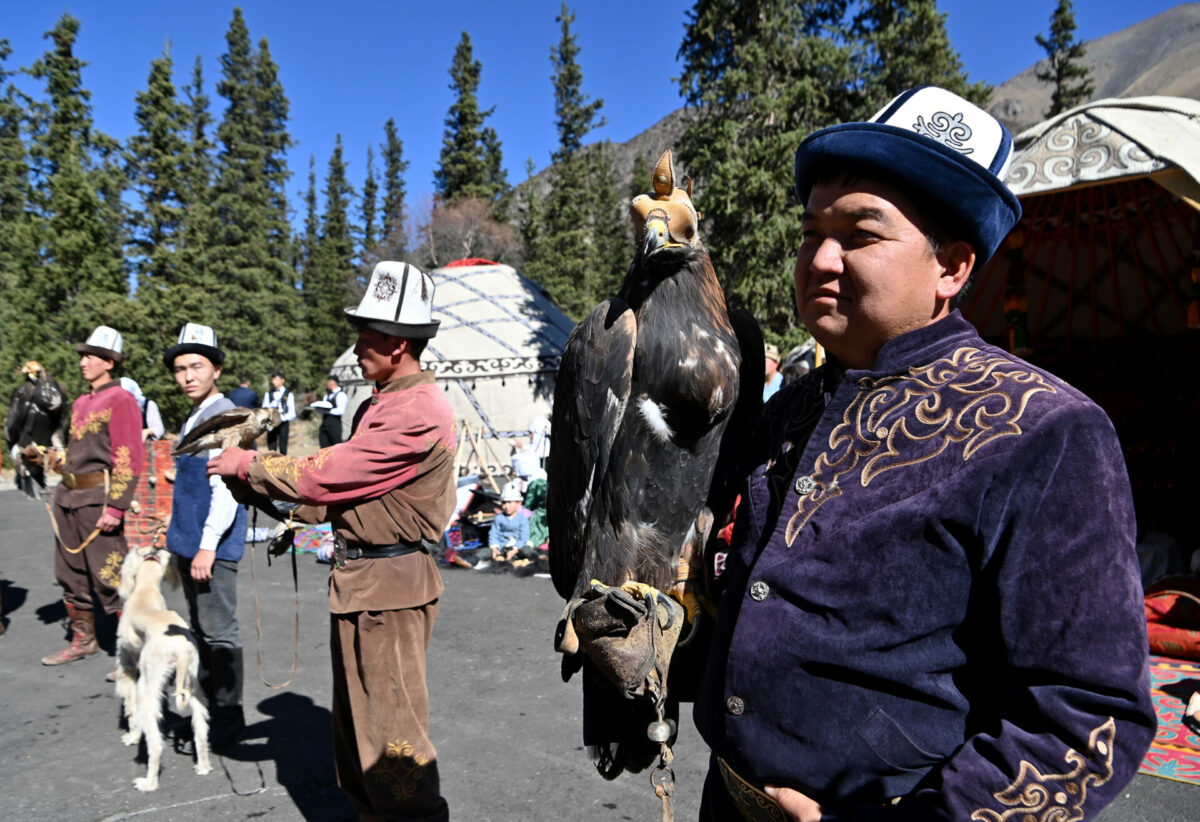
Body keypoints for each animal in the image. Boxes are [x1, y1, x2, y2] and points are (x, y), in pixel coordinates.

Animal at [114, 544, 211, 787]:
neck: (145, 591)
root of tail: (181, 650)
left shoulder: (127, 665)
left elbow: (129, 707)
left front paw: (131, 736)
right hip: (191, 685)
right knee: (200, 728)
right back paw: (203, 766)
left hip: (148, 687)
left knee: (156, 744)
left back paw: (148, 783)